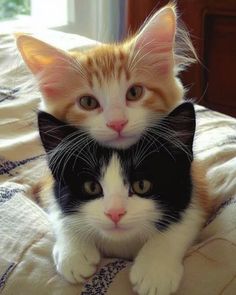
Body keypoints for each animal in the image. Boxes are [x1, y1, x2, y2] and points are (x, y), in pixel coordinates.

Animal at [37, 102, 209, 295]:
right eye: (91, 187)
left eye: (141, 185)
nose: (115, 213)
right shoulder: (48, 187)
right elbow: (57, 208)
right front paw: (75, 254)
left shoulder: (198, 188)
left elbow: (187, 218)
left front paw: (154, 271)